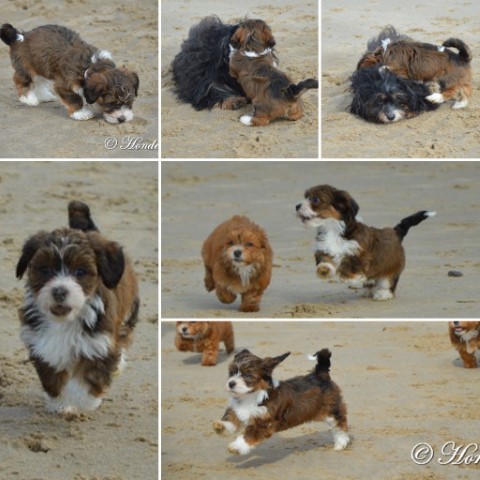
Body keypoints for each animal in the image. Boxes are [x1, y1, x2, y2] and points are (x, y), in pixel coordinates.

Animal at [0, 23, 139, 123]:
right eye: (111, 103)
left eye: (129, 102)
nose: (122, 119)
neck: (90, 66)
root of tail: (19, 37)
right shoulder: (64, 84)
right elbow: (74, 98)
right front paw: (80, 113)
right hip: (26, 68)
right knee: (22, 80)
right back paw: (28, 98)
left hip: (42, 66)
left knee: (39, 82)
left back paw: (44, 96)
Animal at [15, 201, 139, 414]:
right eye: (45, 270)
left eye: (80, 271)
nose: (59, 291)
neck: (66, 320)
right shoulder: (41, 342)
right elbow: (52, 377)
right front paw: (60, 403)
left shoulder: (98, 342)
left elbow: (88, 377)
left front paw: (84, 402)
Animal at [213, 346, 348, 456]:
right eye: (231, 372)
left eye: (248, 375)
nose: (231, 383)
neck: (251, 395)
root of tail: (320, 374)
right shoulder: (237, 409)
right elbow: (231, 418)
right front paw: (220, 426)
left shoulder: (265, 423)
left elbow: (249, 434)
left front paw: (236, 446)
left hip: (331, 410)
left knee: (340, 424)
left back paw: (341, 443)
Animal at [296, 184, 436, 300]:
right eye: (306, 197)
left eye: (316, 199)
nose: (297, 206)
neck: (333, 229)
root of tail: (396, 232)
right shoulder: (323, 247)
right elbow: (325, 258)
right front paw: (324, 269)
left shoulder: (359, 253)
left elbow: (349, 266)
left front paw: (353, 279)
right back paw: (369, 290)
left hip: (391, 266)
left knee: (388, 282)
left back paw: (383, 293)